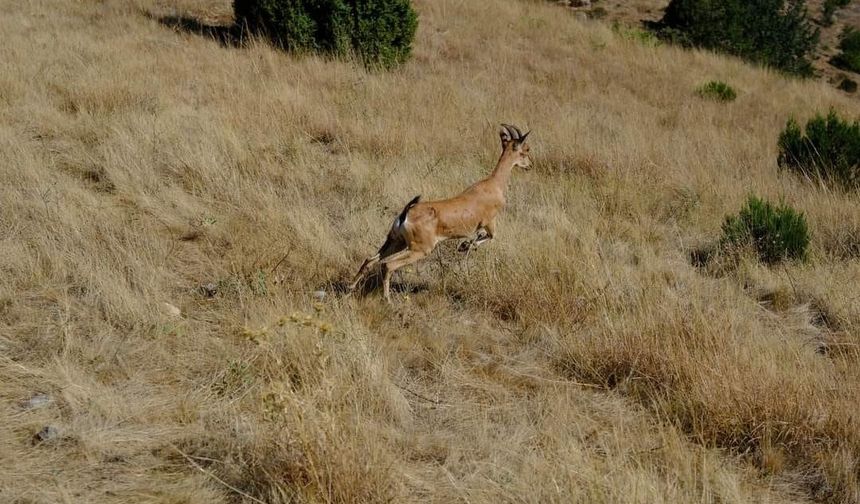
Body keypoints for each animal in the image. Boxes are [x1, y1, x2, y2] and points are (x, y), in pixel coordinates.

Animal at [350, 123, 532, 302]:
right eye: (525, 150)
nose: (530, 165)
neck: (493, 185)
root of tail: (405, 215)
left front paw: (464, 245)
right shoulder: (489, 222)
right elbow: (490, 236)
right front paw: (465, 245)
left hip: (396, 242)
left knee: (370, 260)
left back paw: (350, 288)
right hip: (419, 250)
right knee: (388, 264)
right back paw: (387, 299)